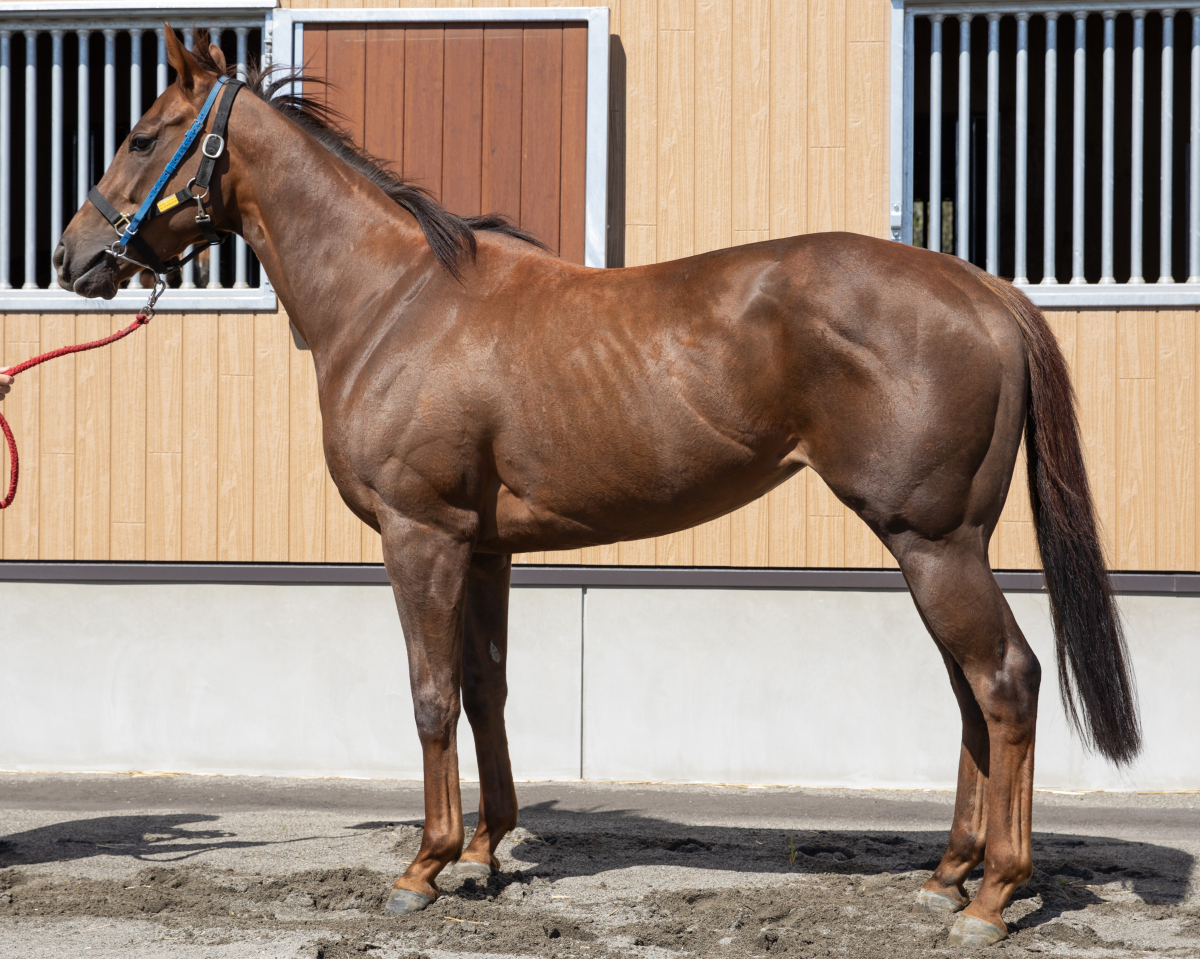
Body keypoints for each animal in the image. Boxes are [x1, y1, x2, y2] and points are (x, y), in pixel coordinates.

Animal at [53, 30, 1140, 947]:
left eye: (143, 134)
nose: (72, 256)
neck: (394, 300)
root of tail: (983, 290)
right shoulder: (484, 546)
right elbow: (486, 686)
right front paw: (483, 852)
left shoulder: (419, 536)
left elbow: (431, 694)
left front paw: (423, 866)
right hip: (938, 543)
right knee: (969, 692)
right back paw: (946, 875)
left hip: (932, 539)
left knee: (1004, 680)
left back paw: (992, 895)